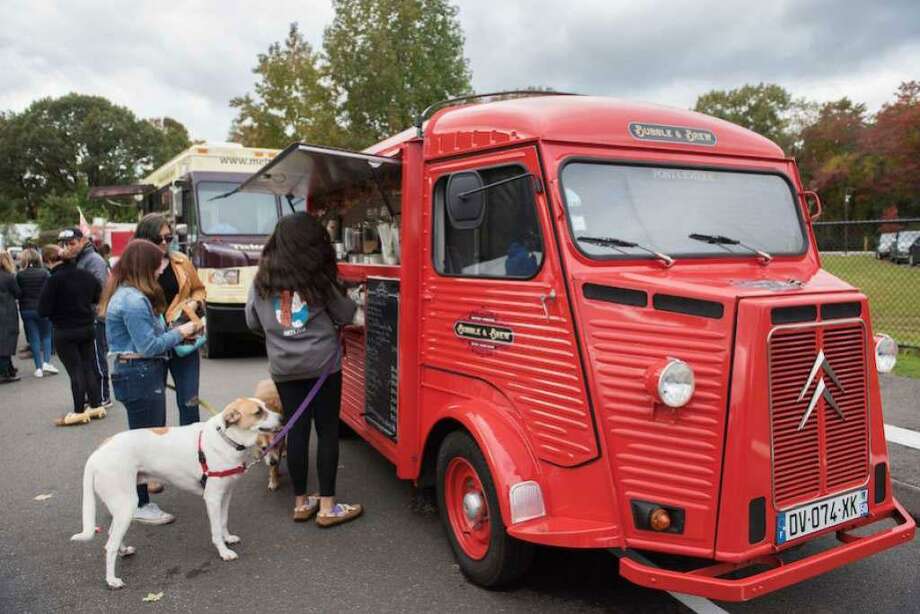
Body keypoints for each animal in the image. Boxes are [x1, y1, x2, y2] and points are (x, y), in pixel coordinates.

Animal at [71, 400, 280, 592]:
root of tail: (97, 453)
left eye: (265, 407)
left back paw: (124, 551)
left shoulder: (226, 495)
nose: (282, 418)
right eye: (258, 412)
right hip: (127, 505)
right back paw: (112, 580)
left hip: (122, 507)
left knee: (112, 533)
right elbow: (215, 531)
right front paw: (223, 552)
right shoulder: (212, 499)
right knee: (110, 545)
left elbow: (223, 522)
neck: (226, 438)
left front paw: (228, 538)